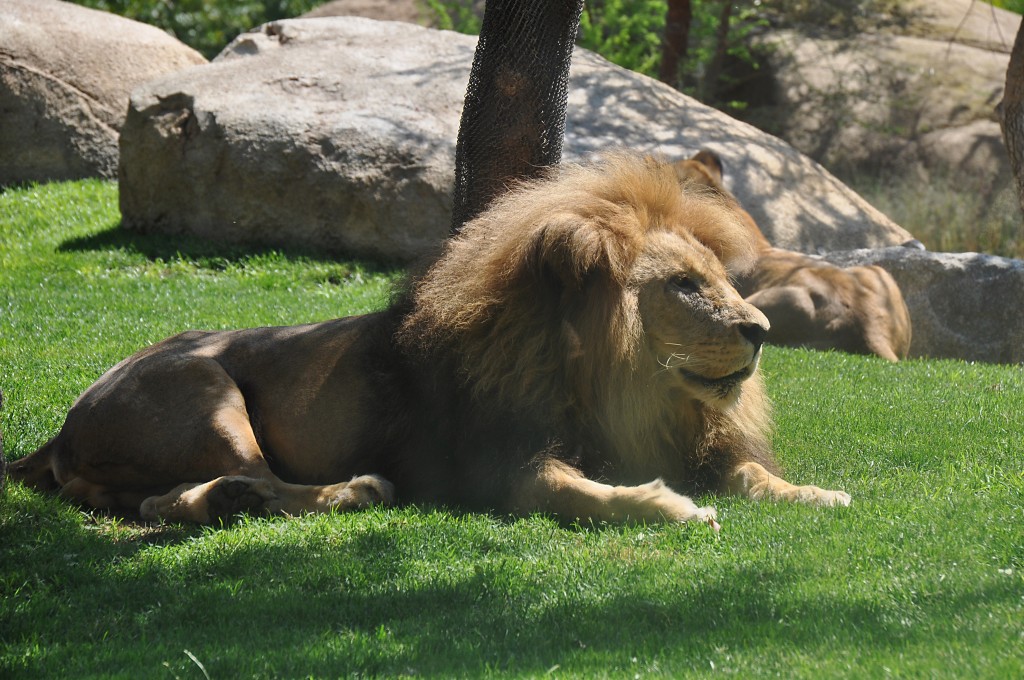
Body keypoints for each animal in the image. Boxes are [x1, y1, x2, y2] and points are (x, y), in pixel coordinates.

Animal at [8, 155, 851, 524]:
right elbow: (570, 490)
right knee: (268, 480)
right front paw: (669, 506)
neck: (628, 392)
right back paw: (349, 490)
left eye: (720, 277)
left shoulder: (696, 440)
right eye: (681, 285)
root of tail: (60, 431)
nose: (760, 331)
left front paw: (817, 492)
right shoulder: (492, 467)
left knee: (164, 504)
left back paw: (223, 500)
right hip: (204, 387)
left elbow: (750, 473)